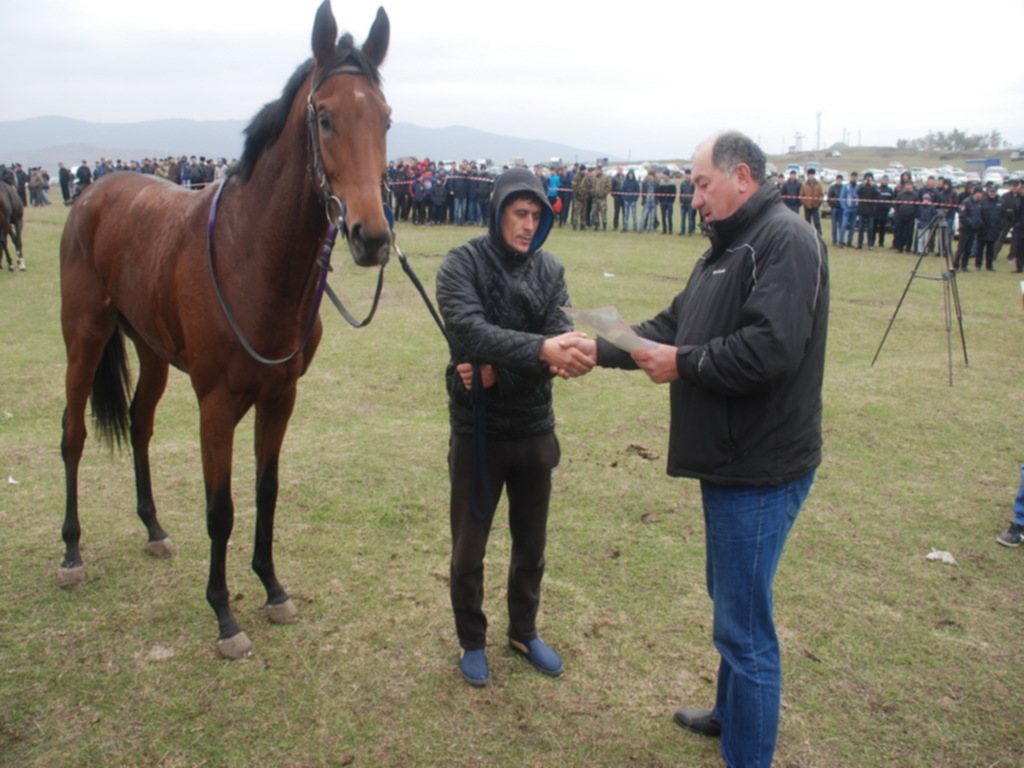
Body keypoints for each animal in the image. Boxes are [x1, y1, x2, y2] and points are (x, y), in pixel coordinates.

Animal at [58, 1, 391, 663]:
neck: (250, 257)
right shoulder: (215, 405)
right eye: (325, 116)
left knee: (139, 423)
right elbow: (221, 509)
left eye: (386, 118)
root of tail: (94, 190)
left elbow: (266, 491)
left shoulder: (280, 397)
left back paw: (153, 527)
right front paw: (224, 615)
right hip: (84, 339)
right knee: (73, 435)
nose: (371, 236)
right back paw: (73, 552)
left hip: (151, 351)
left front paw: (272, 588)